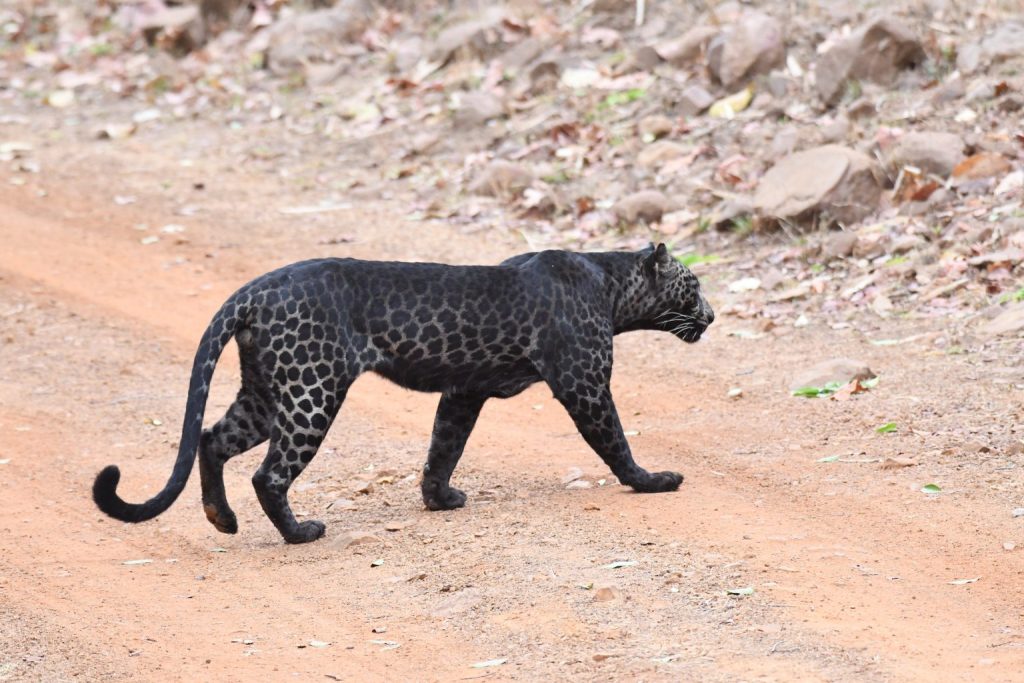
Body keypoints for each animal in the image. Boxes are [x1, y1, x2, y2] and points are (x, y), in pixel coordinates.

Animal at [94, 245, 712, 544]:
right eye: (695, 285)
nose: (711, 314)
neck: (613, 284)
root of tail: (254, 289)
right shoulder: (584, 383)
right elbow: (615, 441)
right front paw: (653, 481)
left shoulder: (464, 391)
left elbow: (444, 447)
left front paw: (440, 499)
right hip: (312, 391)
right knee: (268, 474)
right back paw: (300, 534)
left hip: (267, 392)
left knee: (212, 438)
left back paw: (221, 519)